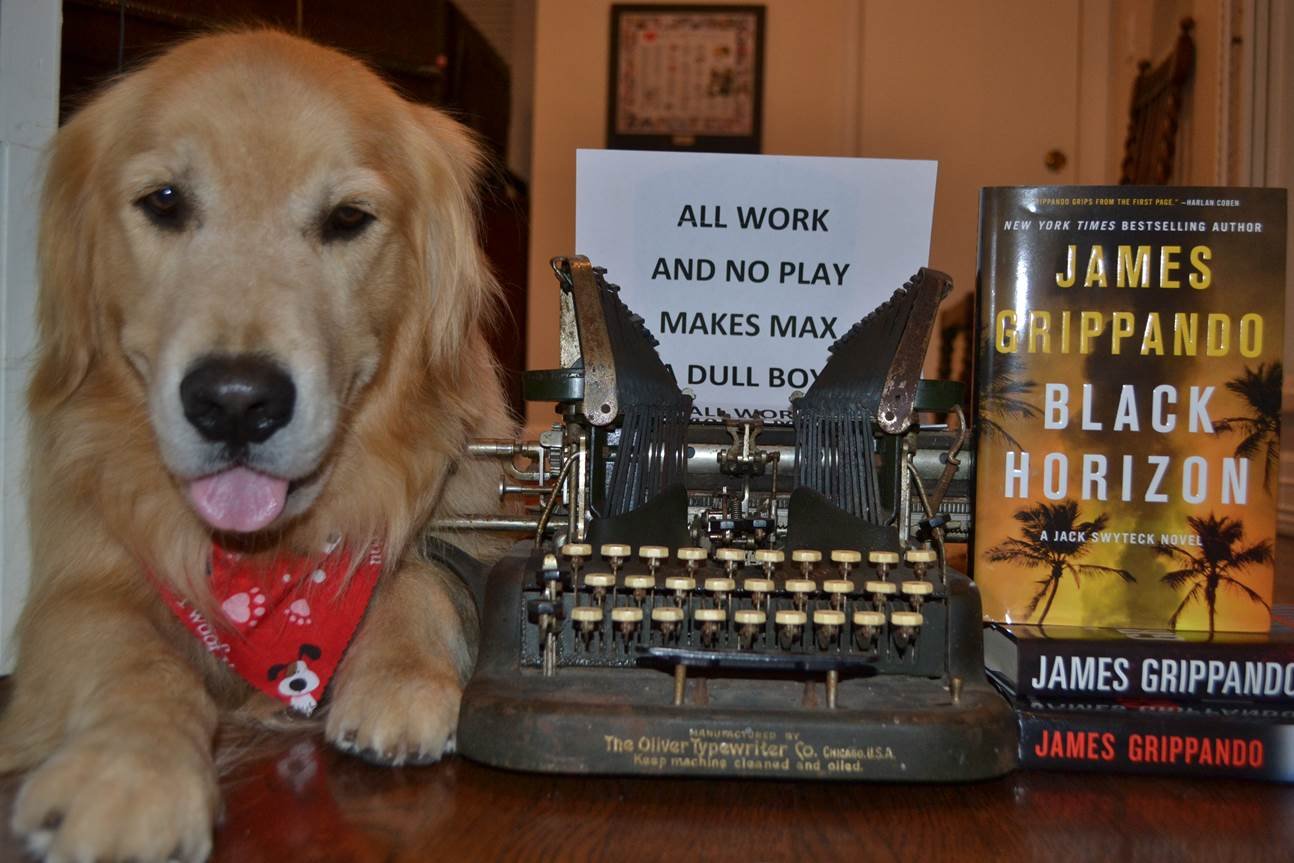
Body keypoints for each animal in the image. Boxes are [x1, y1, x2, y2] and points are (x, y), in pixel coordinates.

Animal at [0, 30, 512, 859]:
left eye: (347, 217)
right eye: (165, 201)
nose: (236, 402)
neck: (268, 564)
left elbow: (415, 573)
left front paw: (401, 676)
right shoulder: (75, 590)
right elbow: (132, 657)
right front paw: (128, 771)